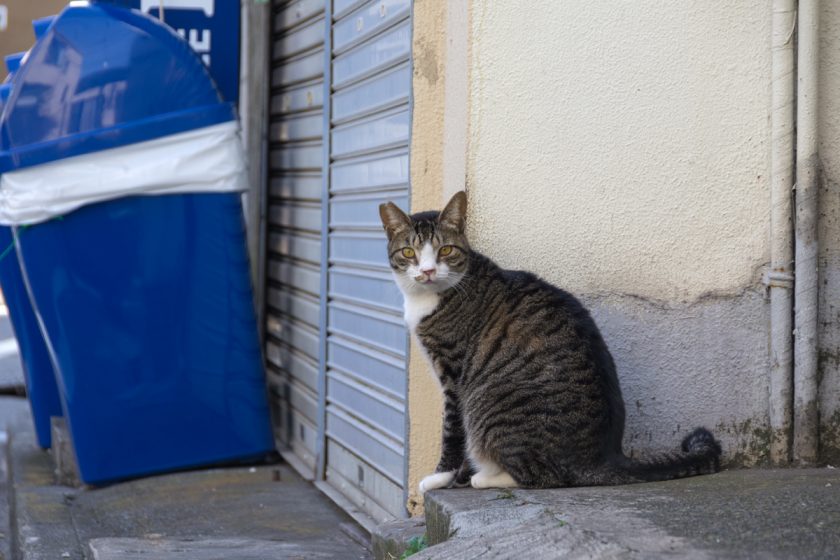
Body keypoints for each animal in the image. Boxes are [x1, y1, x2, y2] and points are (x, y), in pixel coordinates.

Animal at [380, 191, 720, 490]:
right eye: (409, 253)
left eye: (446, 251)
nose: (427, 271)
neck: (428, 298)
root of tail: (602, 458)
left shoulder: (454, 374)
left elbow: (452, 432)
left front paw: (440, 478)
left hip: (489, 404)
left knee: (542, 476)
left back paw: (484, 477)